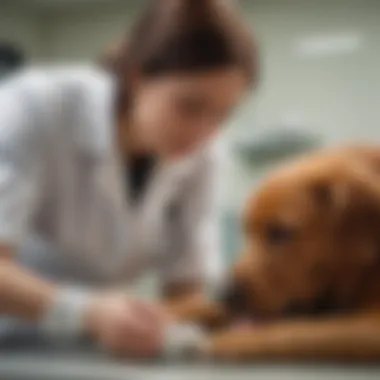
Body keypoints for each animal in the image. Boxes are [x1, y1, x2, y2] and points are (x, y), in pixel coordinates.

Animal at [168, 145, 380, 362]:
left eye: (280, 233)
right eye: (247, 231)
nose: (223, 294)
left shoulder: (370, 325)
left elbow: (299, 332)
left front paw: (230, 339)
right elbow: (205, 306)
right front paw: (174, 310)